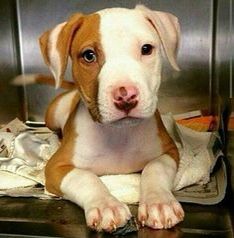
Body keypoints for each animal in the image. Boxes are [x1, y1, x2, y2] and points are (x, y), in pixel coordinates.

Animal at [38, 5, 183, 232]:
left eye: (146, 49)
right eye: (89, 55)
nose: (126, 96)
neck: (119, 133)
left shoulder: (169, 151)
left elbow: (155, 168)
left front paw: (159, 203)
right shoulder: (55, 168)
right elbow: (85, 177)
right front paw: (106, 206)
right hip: (51, 115)